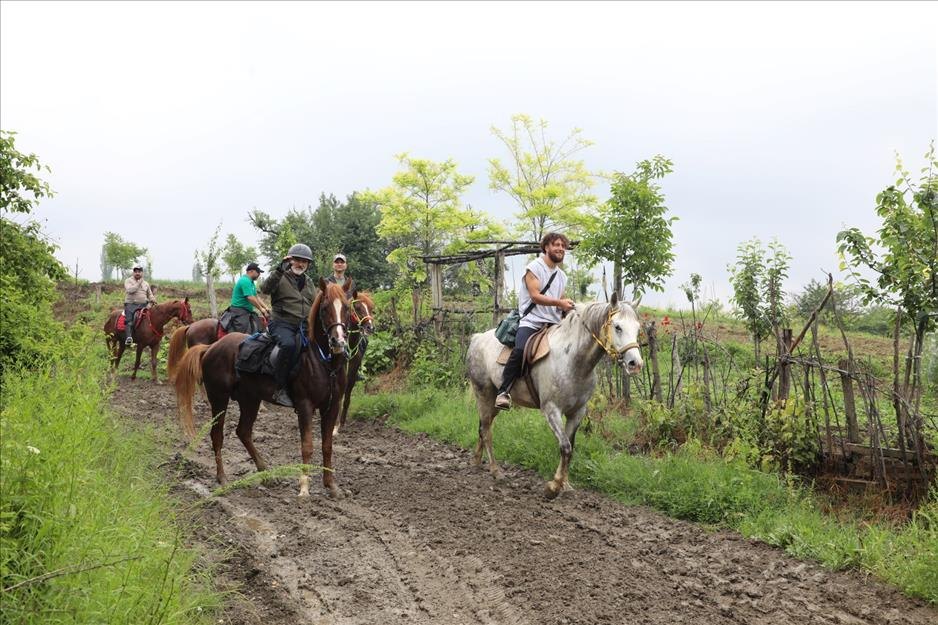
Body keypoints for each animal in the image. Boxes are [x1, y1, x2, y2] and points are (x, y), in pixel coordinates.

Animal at [176, 280, 352, 494]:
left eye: (347, 307)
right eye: (325, 308)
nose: (338, 341)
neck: (323, 361)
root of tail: (211, 348)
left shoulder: (332, 405)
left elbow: (327, 445)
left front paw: (331, 485)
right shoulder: (305, 406)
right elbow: (307, 445)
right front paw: (304, 488)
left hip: (250, 399)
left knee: (243, 432)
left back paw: (265, 472)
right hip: (219, 398)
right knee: (217, 435)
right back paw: (222, 478)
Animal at [330, 290, 372, 436]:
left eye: (371, 308)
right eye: (358, 308)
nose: (370, 327)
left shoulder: (353, 369)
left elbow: (347, 395)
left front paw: (341, 423)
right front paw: (335, 426)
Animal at [462, 292, 640, 498]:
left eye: (638, 328)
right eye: (617, 327)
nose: (635, 364)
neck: (573, 361)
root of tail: (477, 338)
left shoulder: (577, 412)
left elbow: (570, 447)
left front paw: (565, 484)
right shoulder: (551, 410)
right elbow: (565, 446)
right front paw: (553, 487)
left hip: (493, 401)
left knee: (483, 427)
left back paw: (476, 460)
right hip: (483, 393)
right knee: (486, 431)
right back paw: (496, 471)